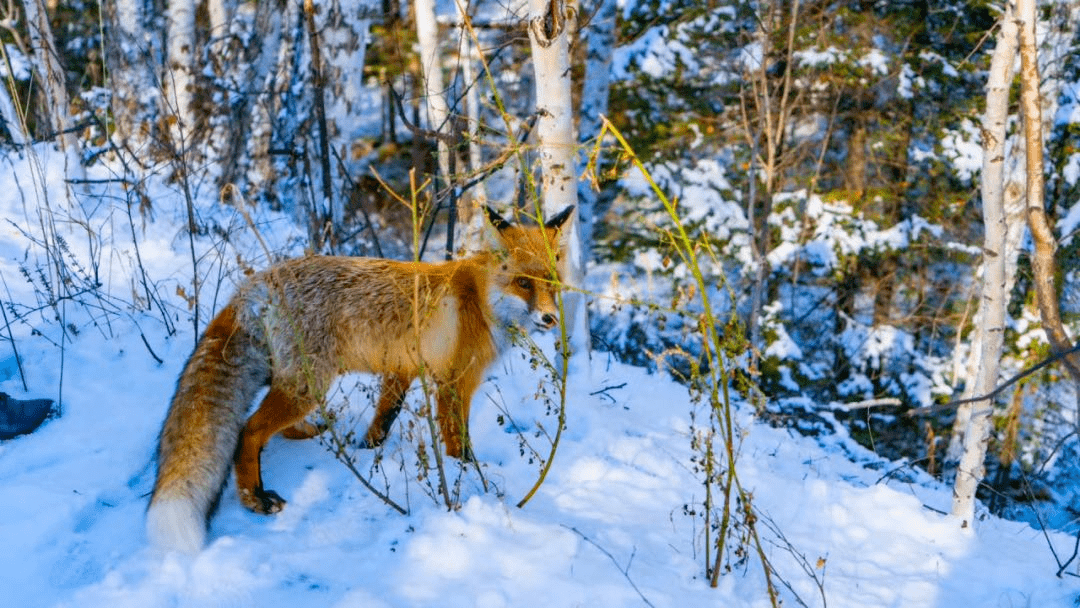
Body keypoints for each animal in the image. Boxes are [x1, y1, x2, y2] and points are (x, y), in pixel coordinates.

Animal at [147, 204, 578, 552]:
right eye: (524, 283)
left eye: (553, 281)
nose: (549, 319)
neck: (482, 300)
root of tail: (255, 284)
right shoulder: (454, 384)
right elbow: (459, 444)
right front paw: (470, 478)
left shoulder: (402, 371)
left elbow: (383, 420)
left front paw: (367, 450)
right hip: (308, 385)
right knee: (248, 431)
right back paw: (255, 498)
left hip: (298, 382)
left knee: (273, 427)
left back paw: (306, 434)